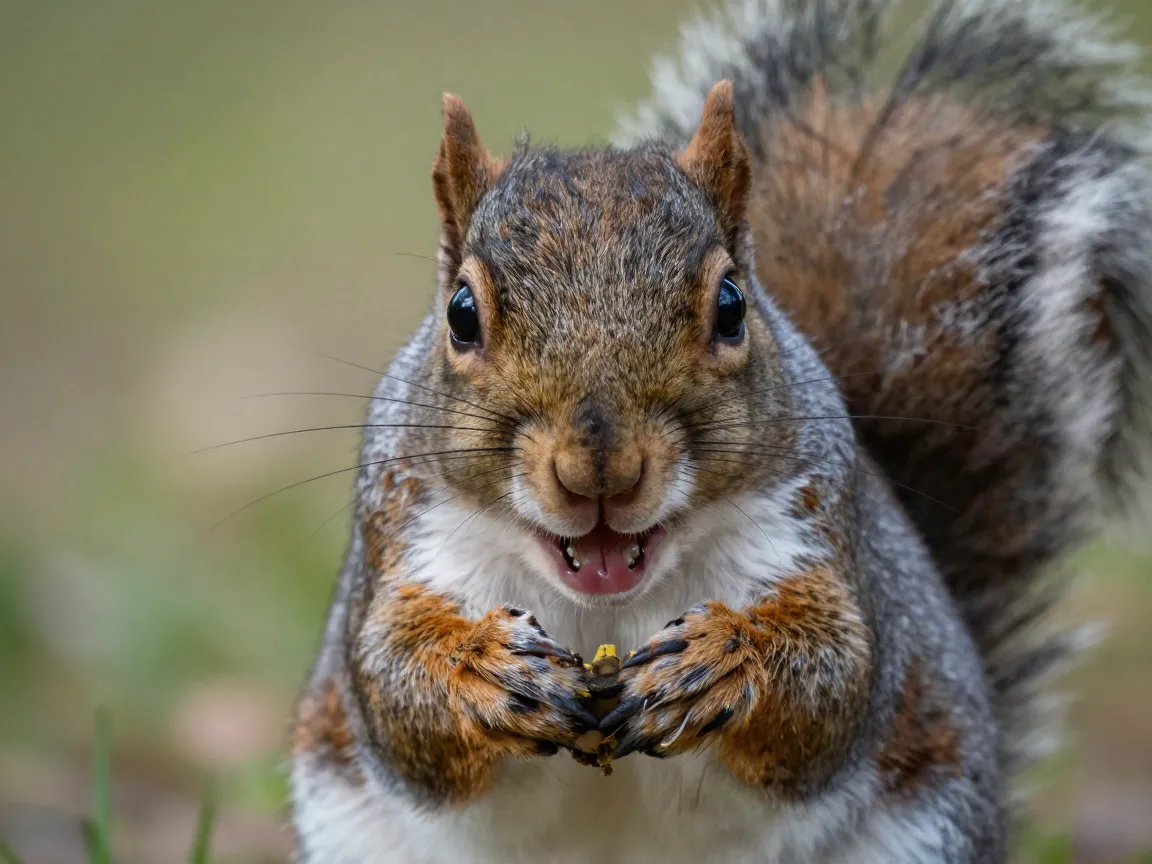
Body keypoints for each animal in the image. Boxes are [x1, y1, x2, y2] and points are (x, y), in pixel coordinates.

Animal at [289, 0, 1152, 861]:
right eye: (461, 315)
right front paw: (484, 669)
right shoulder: (398, 534)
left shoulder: (822, 527)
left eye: (732, 305)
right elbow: (393, 687)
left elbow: (835, 679)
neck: (608, 603)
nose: (599, 469)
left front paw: (722, 662)